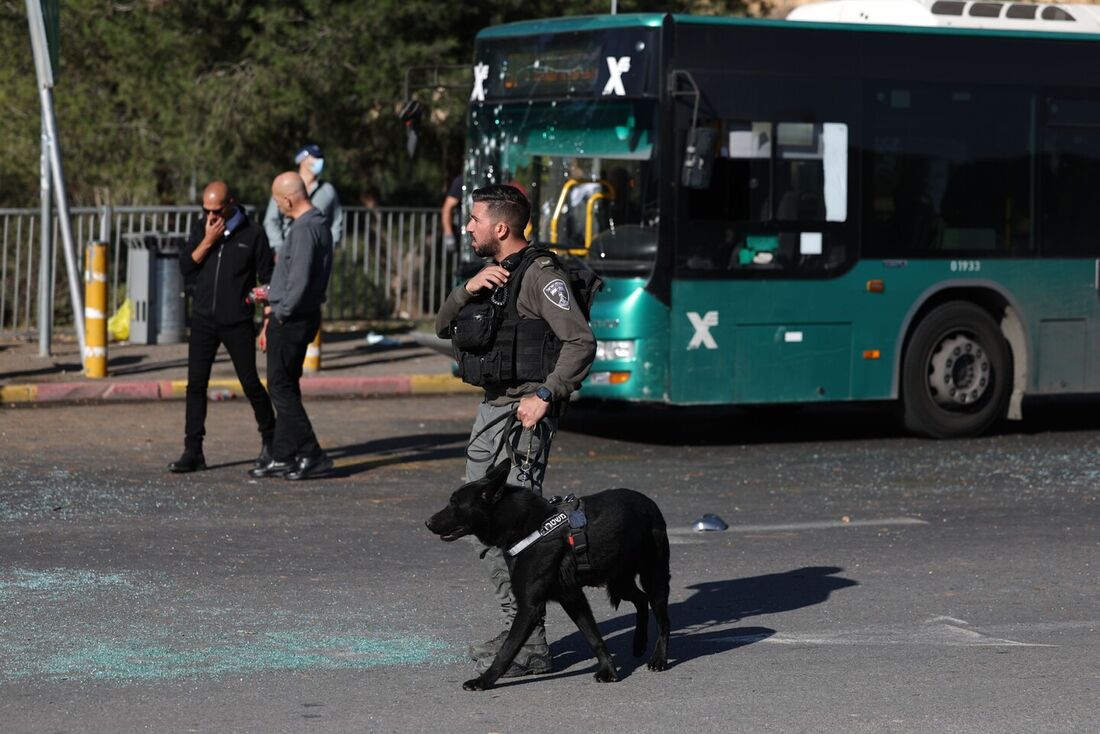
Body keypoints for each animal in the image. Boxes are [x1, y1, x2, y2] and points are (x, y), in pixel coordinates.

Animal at [426, 462, 668, 691]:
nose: (427, 523)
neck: (524, 526)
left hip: (653, 578)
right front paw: (610, 669)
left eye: (454, 503)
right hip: (618, 581)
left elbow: (507, 649)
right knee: (641, 599)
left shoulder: (529, 607)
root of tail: (650, 503)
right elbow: (593, 637)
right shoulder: (572, 598)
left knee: (663, 620)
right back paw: (639, 643)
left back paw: (659, 659)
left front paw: (484, 681)